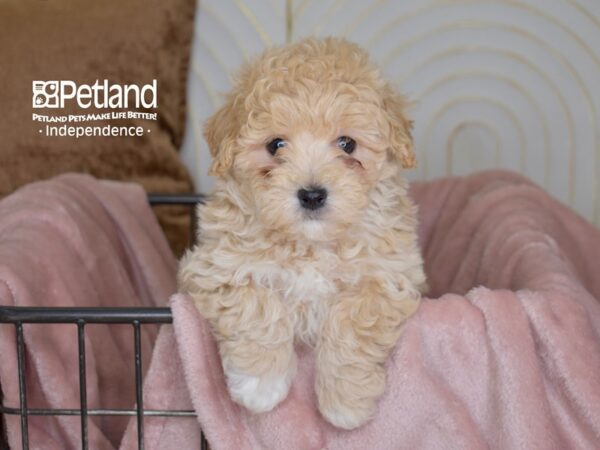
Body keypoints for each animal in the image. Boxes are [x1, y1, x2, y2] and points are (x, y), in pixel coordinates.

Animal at [178, 37, 426, 430]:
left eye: (347, 144)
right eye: (275, 145)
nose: (311, 194)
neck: (309, 244)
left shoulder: (388, 275)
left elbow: (354, 320)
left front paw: (345, 402)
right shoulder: (218, 265)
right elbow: (257, 309)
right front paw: (260, 385)